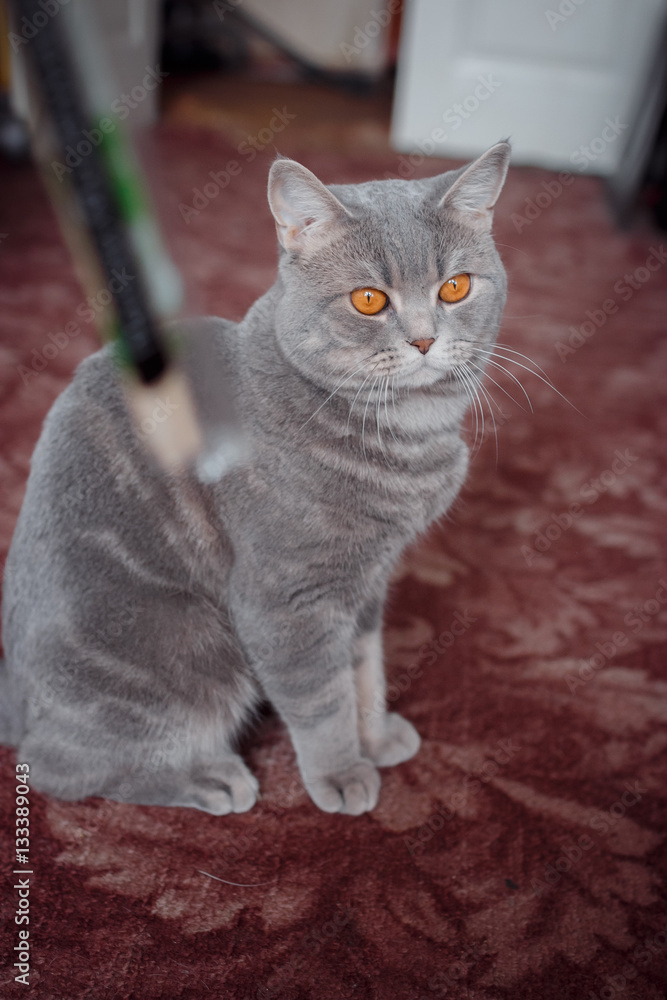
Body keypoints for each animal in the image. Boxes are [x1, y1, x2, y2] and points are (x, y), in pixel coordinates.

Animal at [0, 139, 512, 812]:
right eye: (369, 300)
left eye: (455, 287)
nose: (426, 340)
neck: (409, 430)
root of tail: (9, 700)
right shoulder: (285, 599)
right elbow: (322, 701)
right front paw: (342, 773)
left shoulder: (366, 583)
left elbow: (364, 667)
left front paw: (376, 737)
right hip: (194, 643)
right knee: (57, 767)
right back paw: (212, 778)